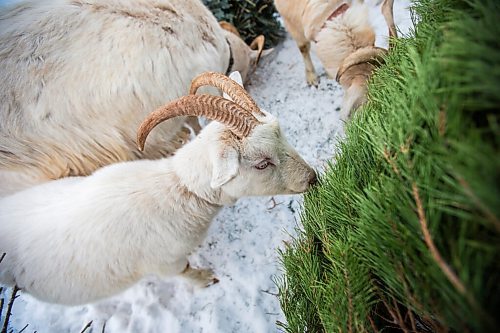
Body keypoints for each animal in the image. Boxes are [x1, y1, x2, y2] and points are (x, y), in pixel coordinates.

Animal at [0, 71, 316, 304]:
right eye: (261, 163)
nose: (312, 179)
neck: (181, 189)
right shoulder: (165, 262)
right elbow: (185, 271)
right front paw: (207, 279)